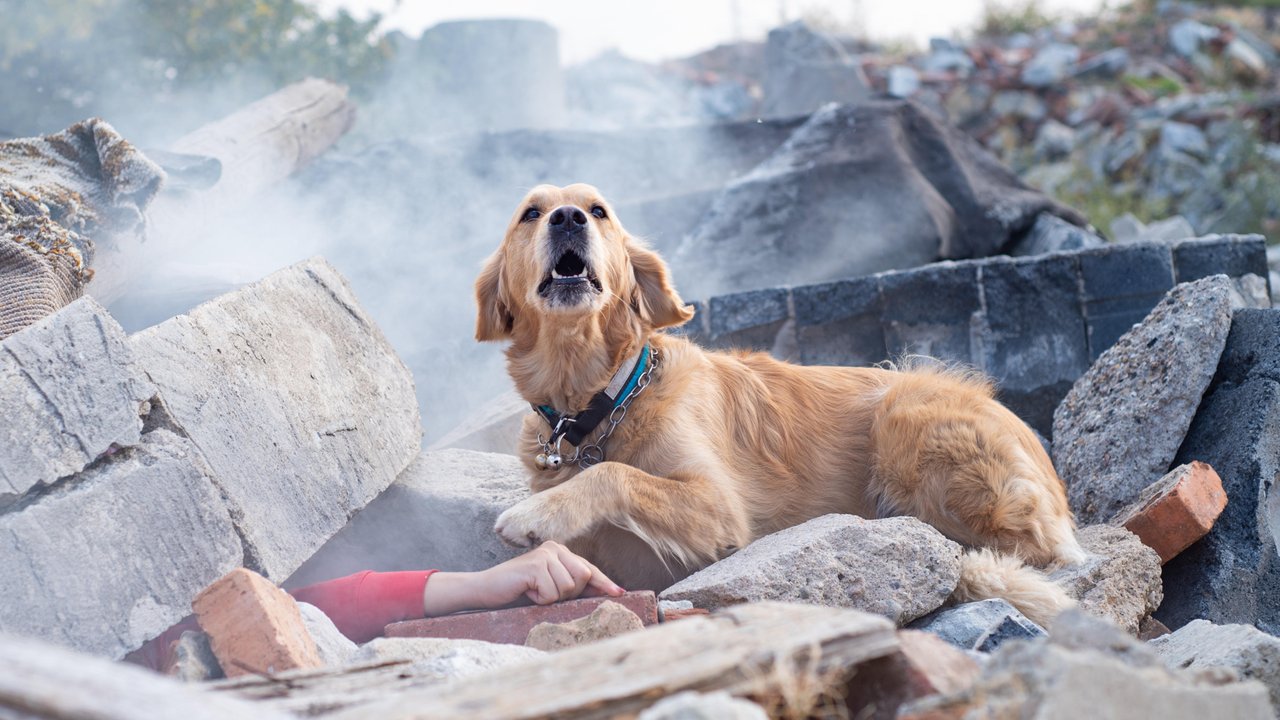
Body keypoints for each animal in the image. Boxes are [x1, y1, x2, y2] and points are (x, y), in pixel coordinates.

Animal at [476, 180, 1085, 622]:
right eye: (531, 213)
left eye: (598, 210)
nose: (567, 218)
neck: (598, 403)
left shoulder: (722, 509)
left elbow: (615, 475)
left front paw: (534, 515)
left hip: (907, 410)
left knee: (1022, 550)